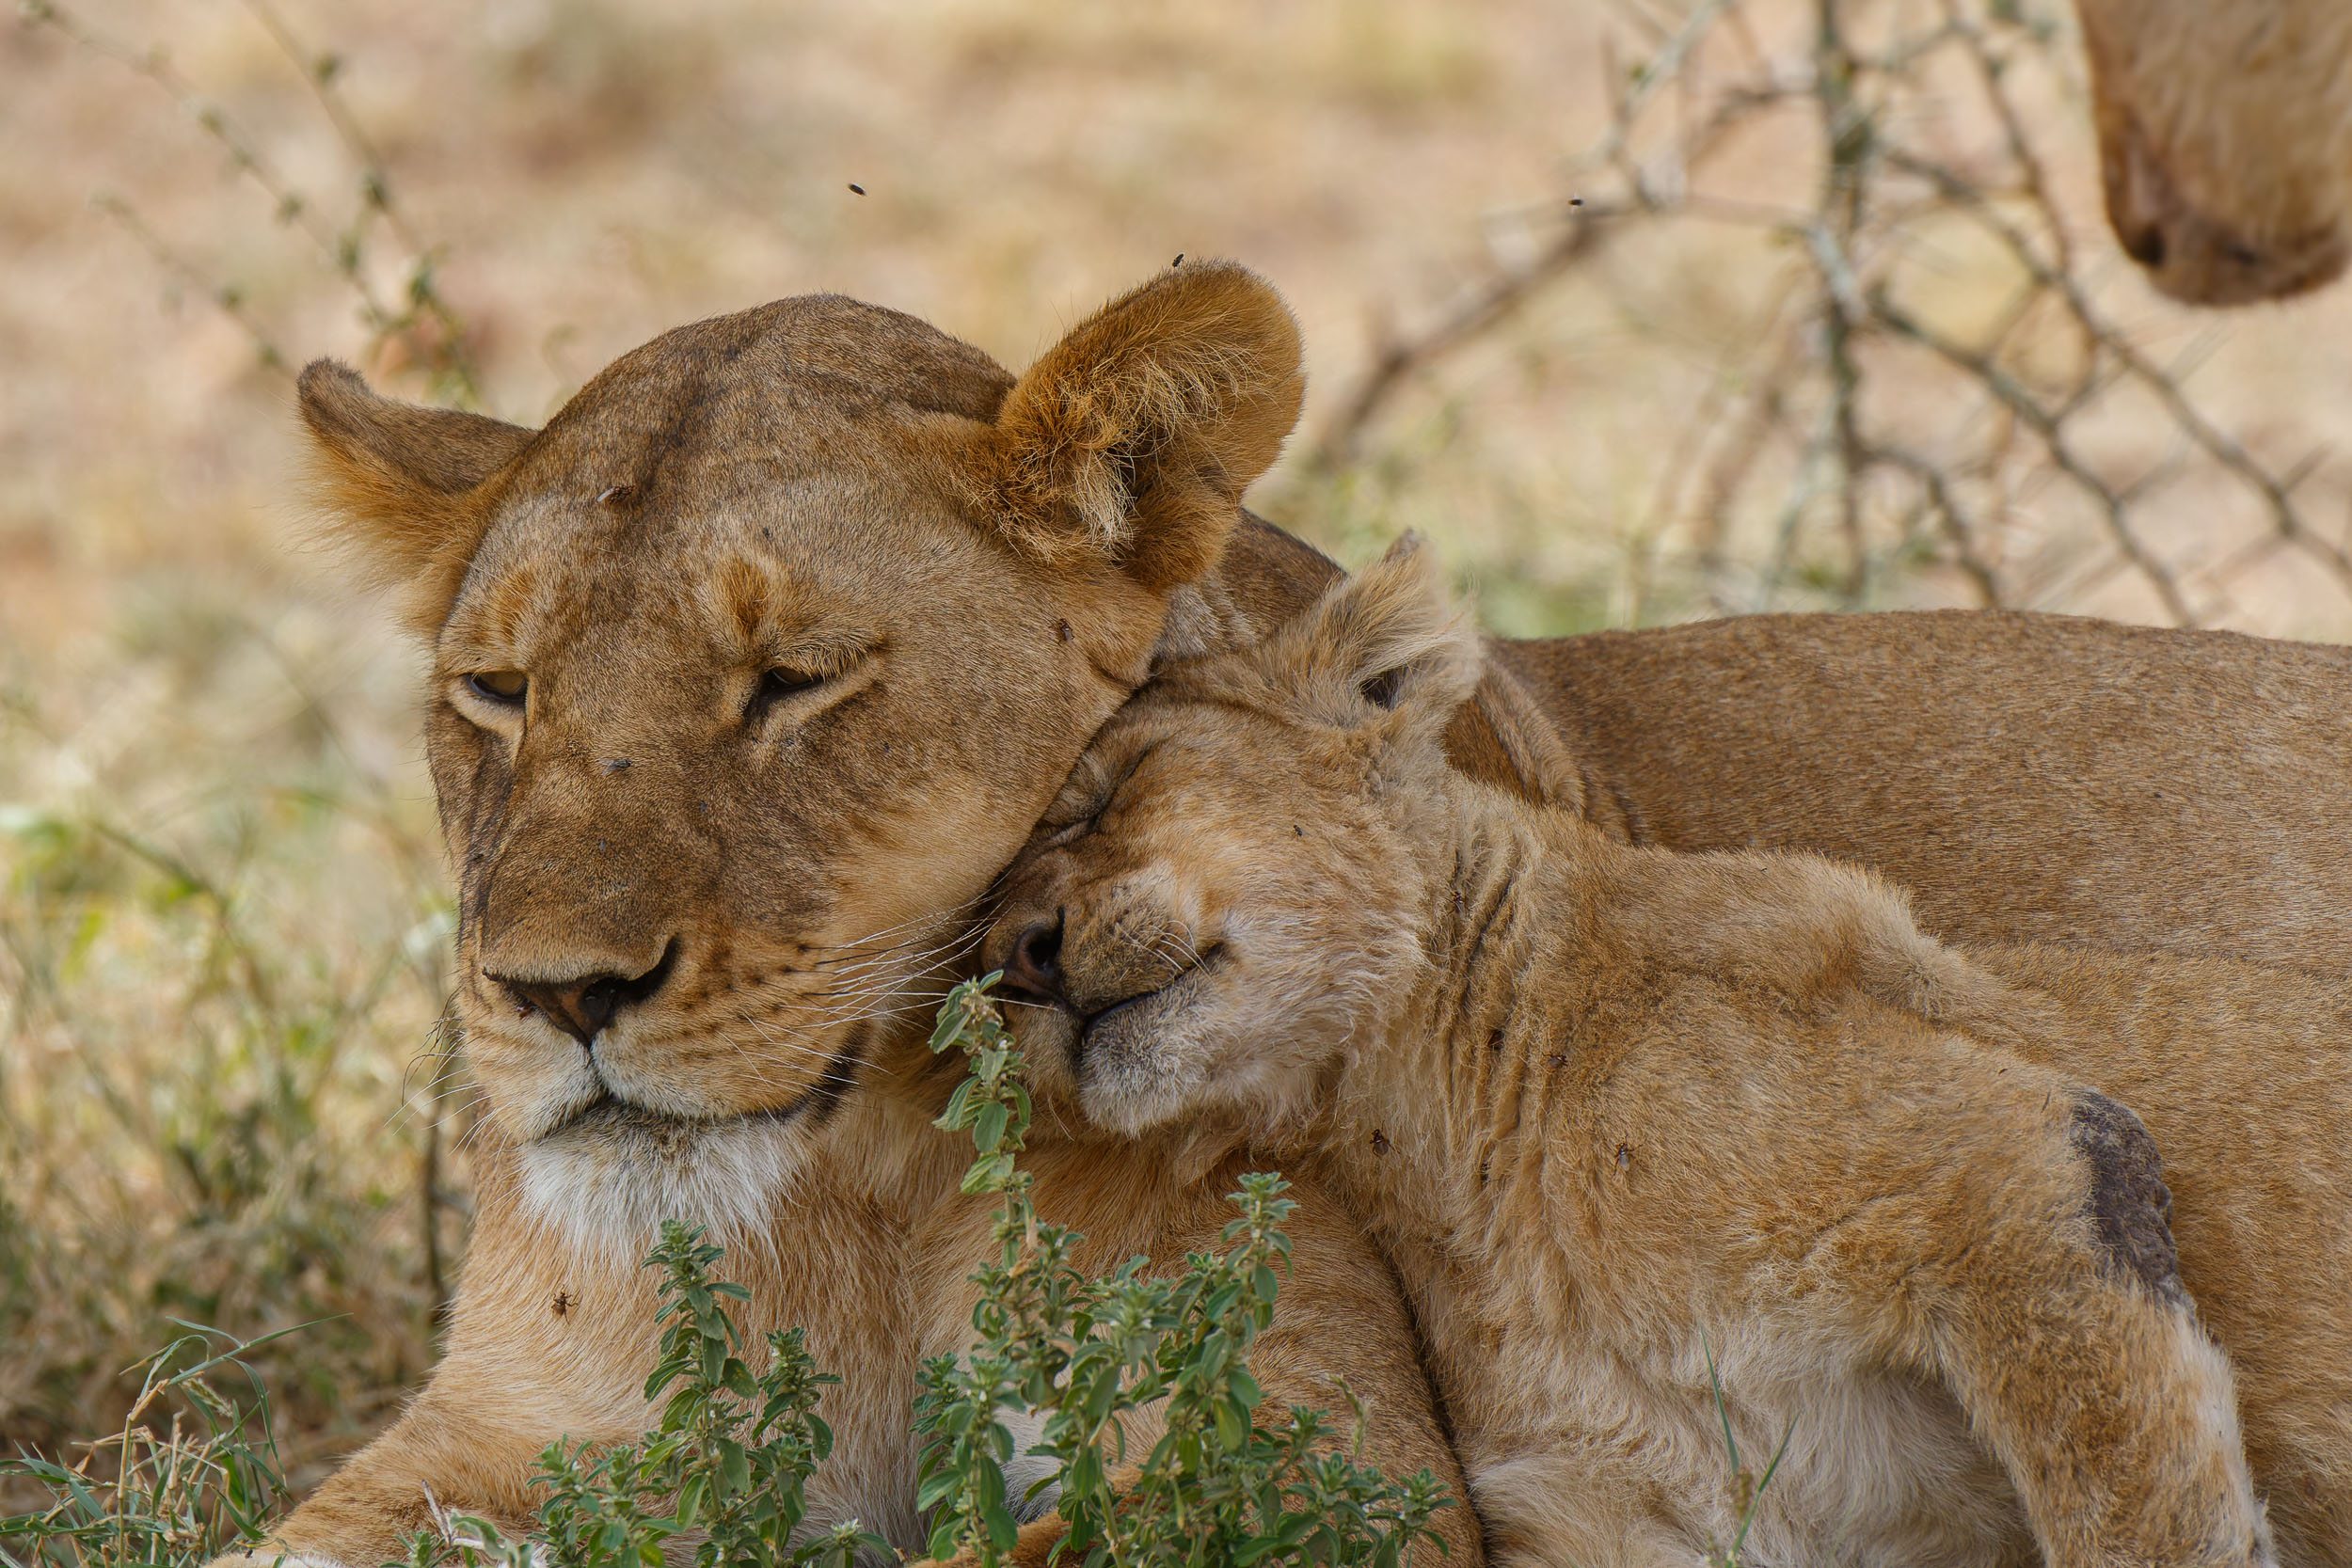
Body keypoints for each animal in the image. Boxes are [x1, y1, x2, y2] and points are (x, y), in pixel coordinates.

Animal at [982, 536, 2352, 1566]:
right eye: (983, 910)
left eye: (1111, 789)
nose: (1016, 957)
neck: (1434, 1146)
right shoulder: (1640, 1510)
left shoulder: (2020, 1167)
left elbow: (2136, 1510)